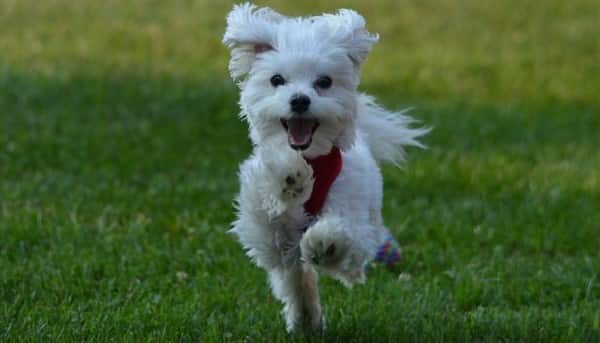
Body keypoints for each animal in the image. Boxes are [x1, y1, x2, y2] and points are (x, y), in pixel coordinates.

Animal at [224, 3, 426, 334]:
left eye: (324, 82)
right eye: (277, 79)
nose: (300, 100)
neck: (313, 159)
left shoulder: (353, 210)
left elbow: (344, 234)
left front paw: (324, 241)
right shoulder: (265, 231)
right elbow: (270, 219)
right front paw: (288, 177)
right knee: (296, 281)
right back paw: (304, 319)